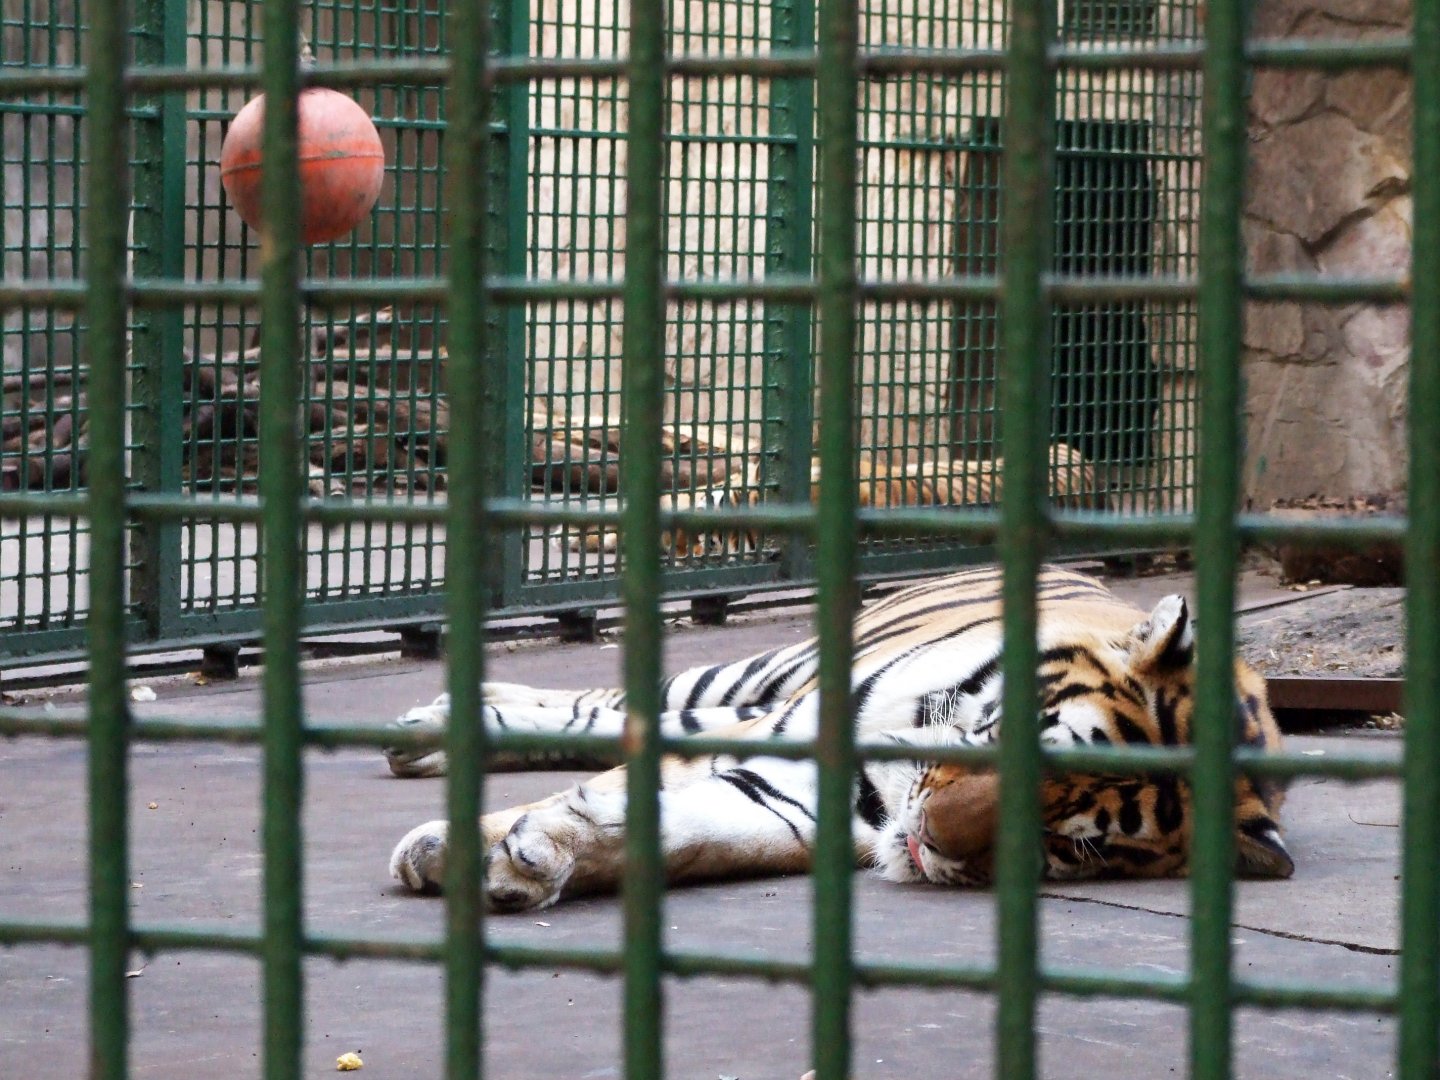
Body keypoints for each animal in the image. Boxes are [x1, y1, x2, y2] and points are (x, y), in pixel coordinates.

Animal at [385, 563, 1293, 912]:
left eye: (1077, 846)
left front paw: (521, 858)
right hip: (770, 673)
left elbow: (696, 824)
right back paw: (432, 726)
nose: (928, 840)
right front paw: (468, 847)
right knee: (625, 703)